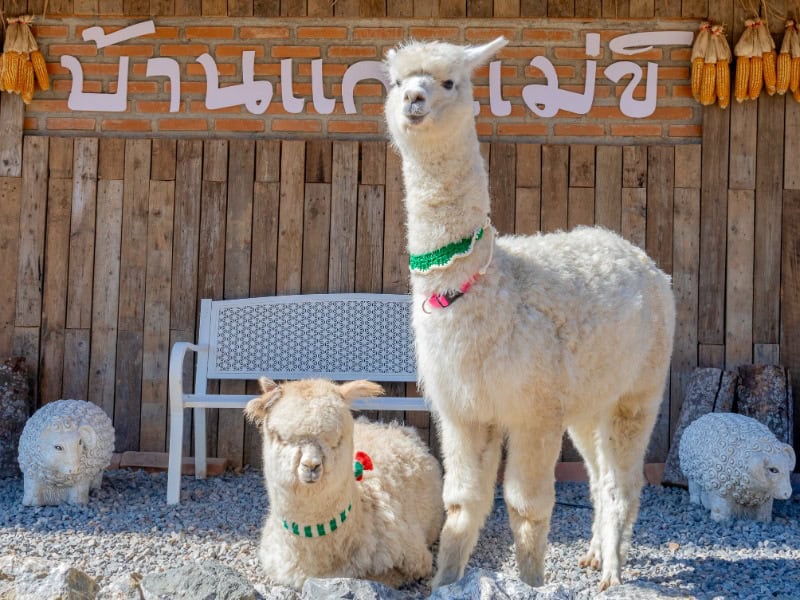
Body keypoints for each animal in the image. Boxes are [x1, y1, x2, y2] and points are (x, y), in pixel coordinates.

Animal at [383, 37, 675, 592]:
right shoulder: (464, 411)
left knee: (623, 479)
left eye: (449, 81)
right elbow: (462, 506)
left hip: (639, 389)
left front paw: (533, 582)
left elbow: (526, 506)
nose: (413, 99)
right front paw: (446, 581)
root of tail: (632, 250)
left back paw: (613, 570)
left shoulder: (533, 408)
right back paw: (594, 554)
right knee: (598, 474)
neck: (480, 287)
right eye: (396, 81)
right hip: (585, 402)